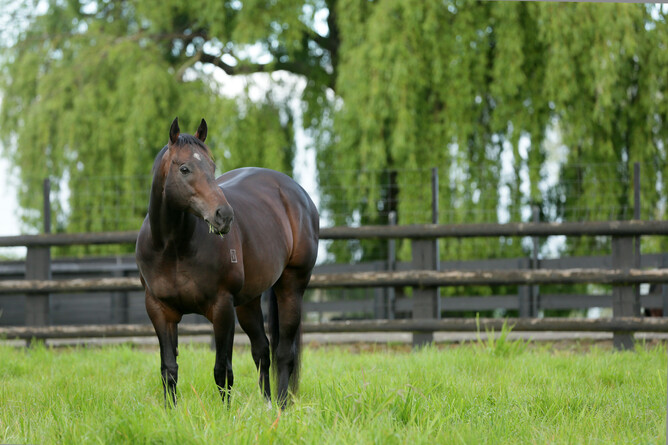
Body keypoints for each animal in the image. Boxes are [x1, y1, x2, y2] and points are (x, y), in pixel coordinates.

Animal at [135, 117, 319, 408]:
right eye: (184, 168)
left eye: (212, 167)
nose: (224, 215)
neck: (172, 248)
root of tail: (296, 193)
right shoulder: (159, 310)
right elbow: (169, 369)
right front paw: (170, 411)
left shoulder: (221, 308)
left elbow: (222, 370)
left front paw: (225, 413)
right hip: (248, 301)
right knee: (261, 350)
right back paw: (267, 404)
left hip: (291, 286)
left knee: (283, 353)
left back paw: (280, 406)